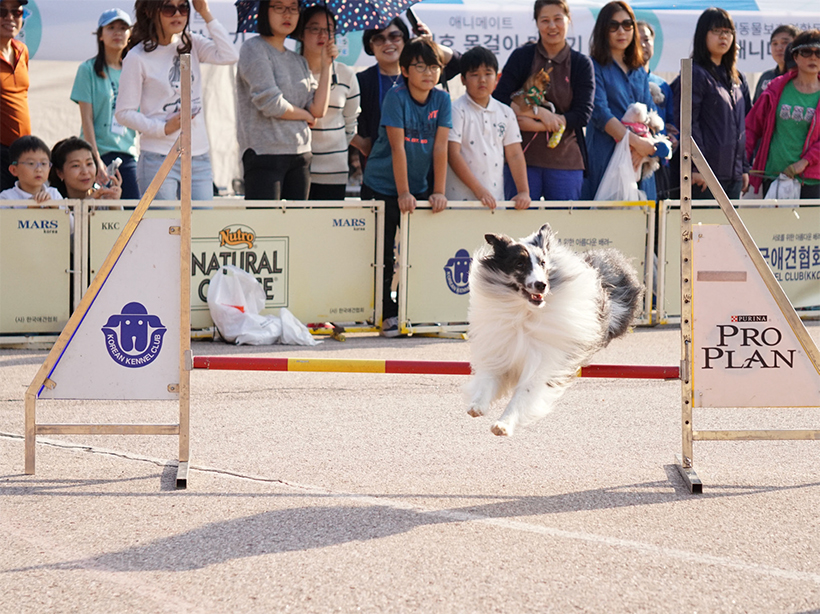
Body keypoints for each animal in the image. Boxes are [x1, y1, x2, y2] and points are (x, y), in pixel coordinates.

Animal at [464, 225, 644, 438]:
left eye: (543, 263)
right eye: (519, 263)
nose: (541, 285)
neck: (524, 312)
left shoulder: (543, 361)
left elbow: (522, 395)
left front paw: (503, 425)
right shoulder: (499, 350)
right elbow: (487, 380)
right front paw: (477, 406)